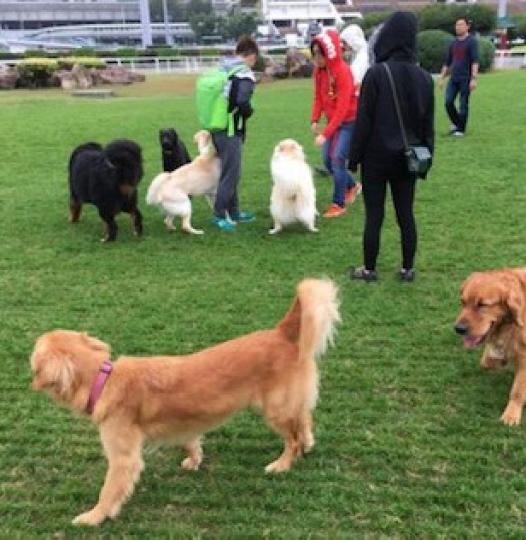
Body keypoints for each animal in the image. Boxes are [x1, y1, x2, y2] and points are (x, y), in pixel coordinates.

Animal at [29, 280, 342, 524]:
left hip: (274, 410)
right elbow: (189, 440)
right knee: (304, 417)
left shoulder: (123, 458)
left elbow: (109, 490)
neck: (103, 378)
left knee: (292, 438)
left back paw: (282, 464)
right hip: (286, 403)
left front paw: (94, 516)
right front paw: (194, 460)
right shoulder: (182, 424)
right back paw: (309, 442)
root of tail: (280, 332)